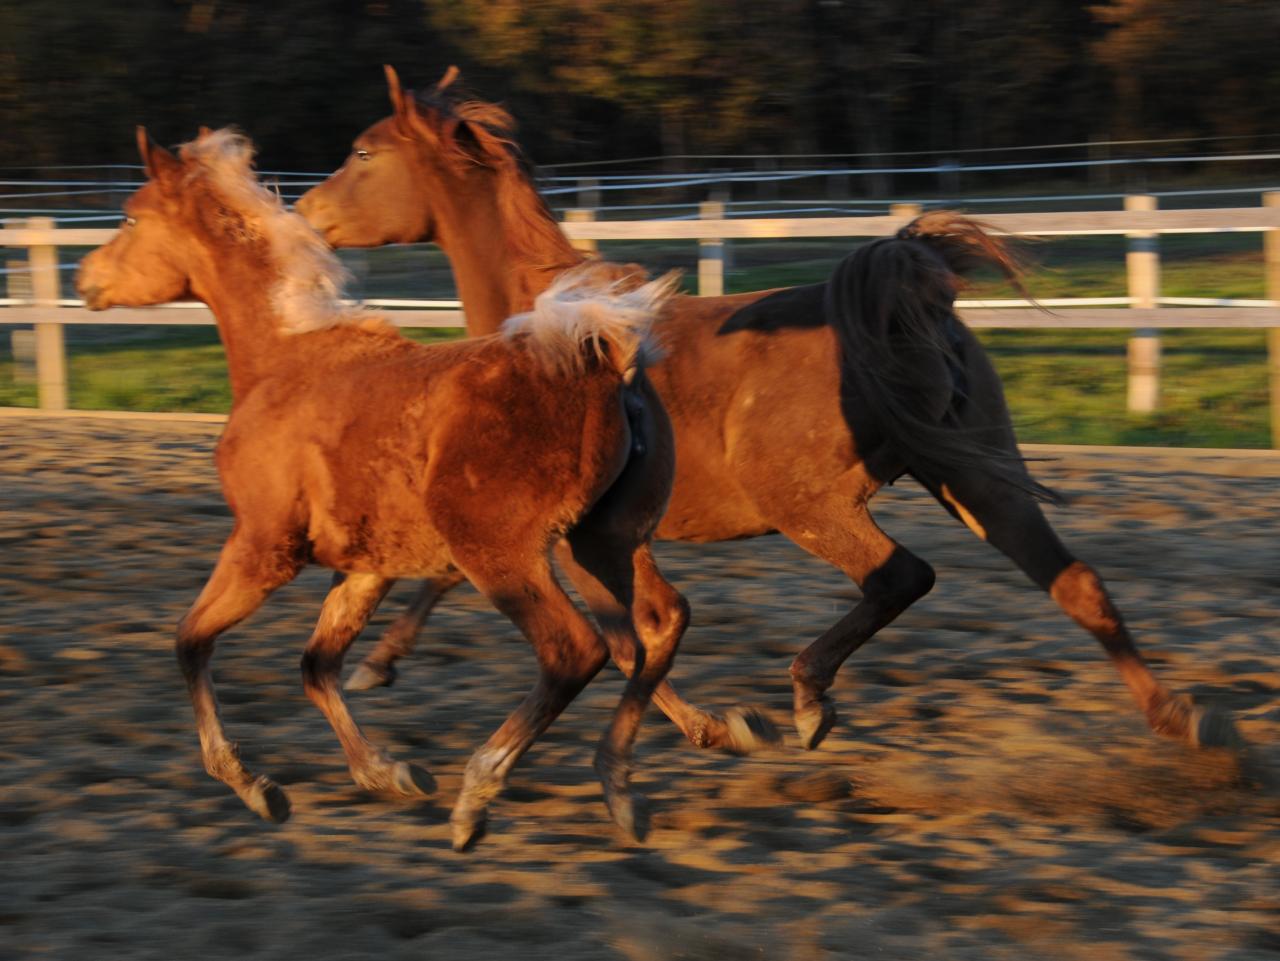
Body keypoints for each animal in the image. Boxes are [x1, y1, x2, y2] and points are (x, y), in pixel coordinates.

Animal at [74, 126, 696, 849]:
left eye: (129, 217)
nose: (85, 278)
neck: (284, 360)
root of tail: (608, 363)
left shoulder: (262, 548)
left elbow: (190, 640)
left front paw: (256, 787)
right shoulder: (368, 566)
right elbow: (317, 666)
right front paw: (389, 772)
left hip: (503, 556)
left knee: (576, 649)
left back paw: (477, 796)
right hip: (600, 544)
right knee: (647, 633)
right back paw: (623, 788)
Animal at [296, 65, 1239, 757]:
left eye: (365, 152)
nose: (303, 212)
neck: (546, 321)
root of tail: (904, 297)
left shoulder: (564, 527)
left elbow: (628, 626)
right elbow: (592, 615)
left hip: (812, 503)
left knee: (900, 576)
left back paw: (808, 697)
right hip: (976, 476)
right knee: (1076, 583)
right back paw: (1187, 721)